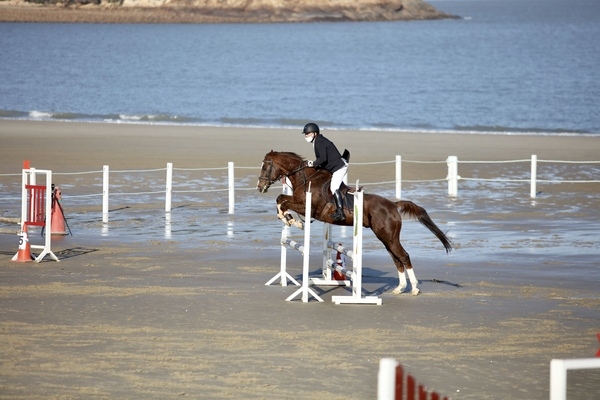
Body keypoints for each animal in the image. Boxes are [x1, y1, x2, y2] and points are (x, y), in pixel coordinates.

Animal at [255, 150, 452, 294]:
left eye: (265, 167)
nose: (259, 187)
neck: (306, 178)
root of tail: (393, 205)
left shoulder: (306, 206)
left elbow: (284, 202)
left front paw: (292, 221)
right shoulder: (298, 202)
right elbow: (281, 199)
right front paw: (288, 219)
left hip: (389, 237)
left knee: (403, 256)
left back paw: (415, 288)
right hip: (386, 238)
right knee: (396, 259)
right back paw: (399, 288)